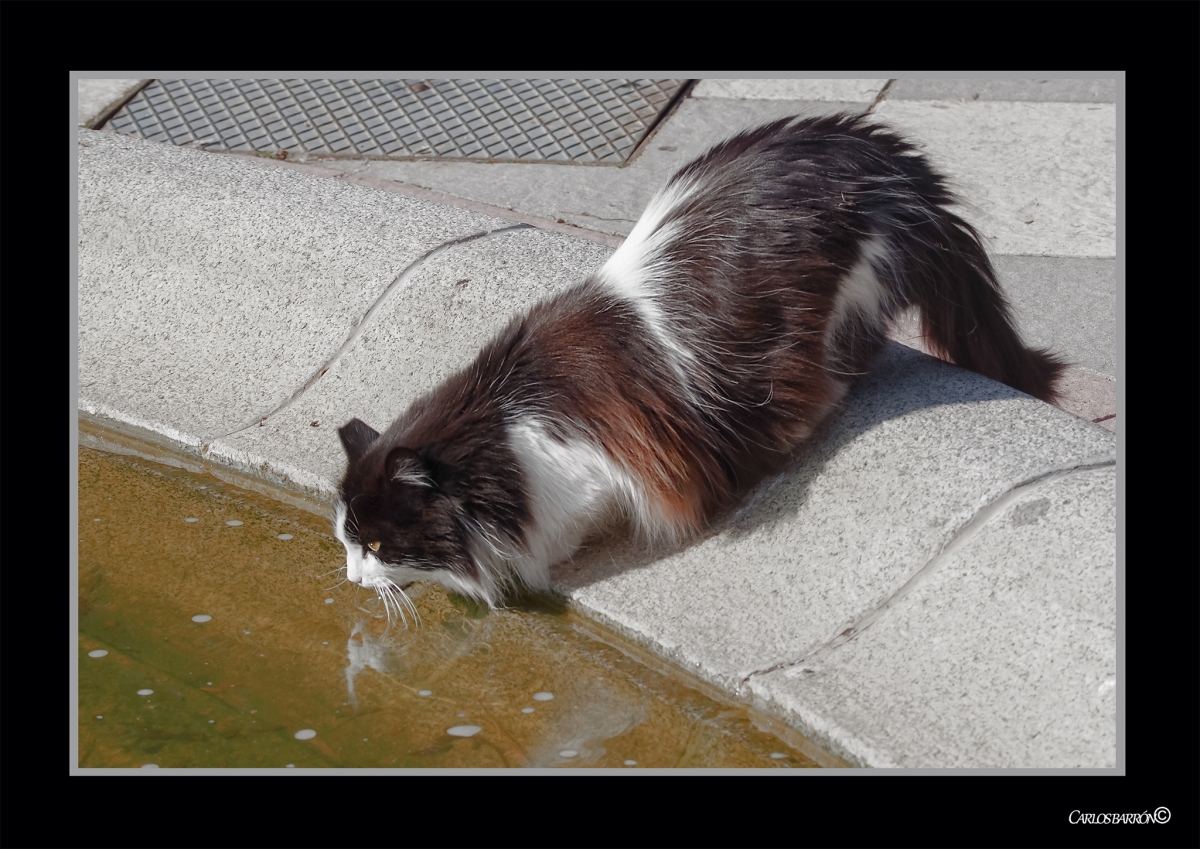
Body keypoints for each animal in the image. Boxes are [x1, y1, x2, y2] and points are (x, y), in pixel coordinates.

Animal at [333, 112, 1065, 618]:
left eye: (376, 546)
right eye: (347, 541)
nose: (349, 578)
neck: (503, 429)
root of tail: (879, 159)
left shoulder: (598, 474)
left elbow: (573, 526)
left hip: (844, 294)